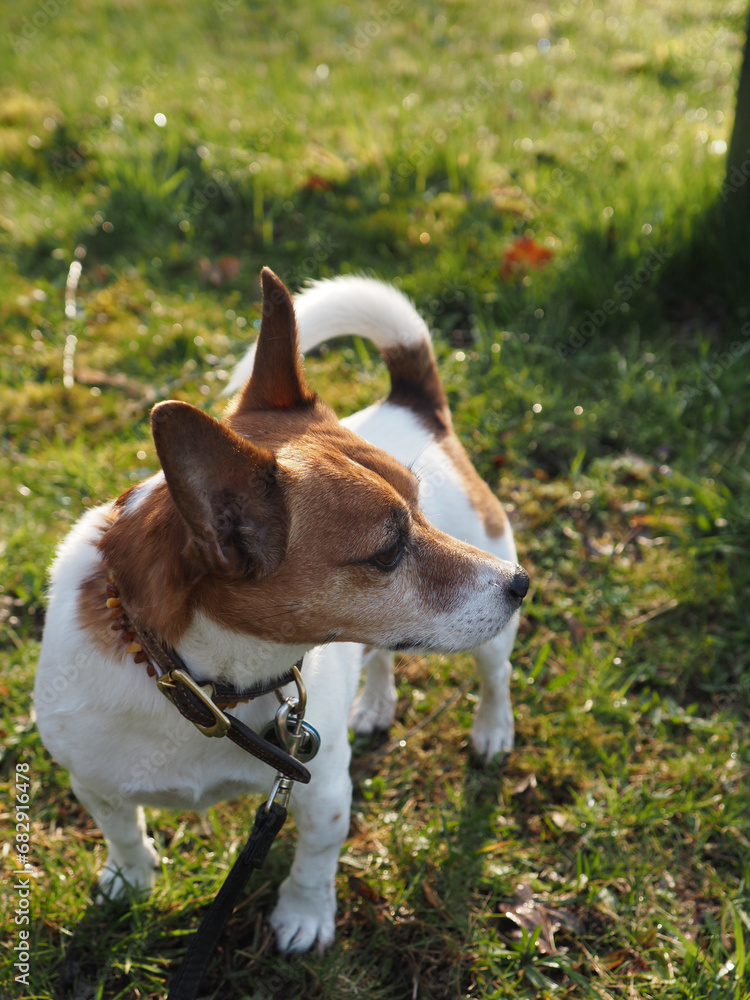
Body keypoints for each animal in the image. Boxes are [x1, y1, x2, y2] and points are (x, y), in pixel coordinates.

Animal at [35, 266, 528, 952]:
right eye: (388, 551)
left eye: (421, 509)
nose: (520, 585)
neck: (204, 688)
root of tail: (411, 403)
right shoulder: (93, 780)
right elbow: (124, 831)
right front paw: (129, 881)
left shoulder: (320, 788)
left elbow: (315, 857)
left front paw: (303, 917)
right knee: (383, 658)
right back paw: (374, 706)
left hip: (490, 622)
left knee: (494, 675)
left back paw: (491, 730)